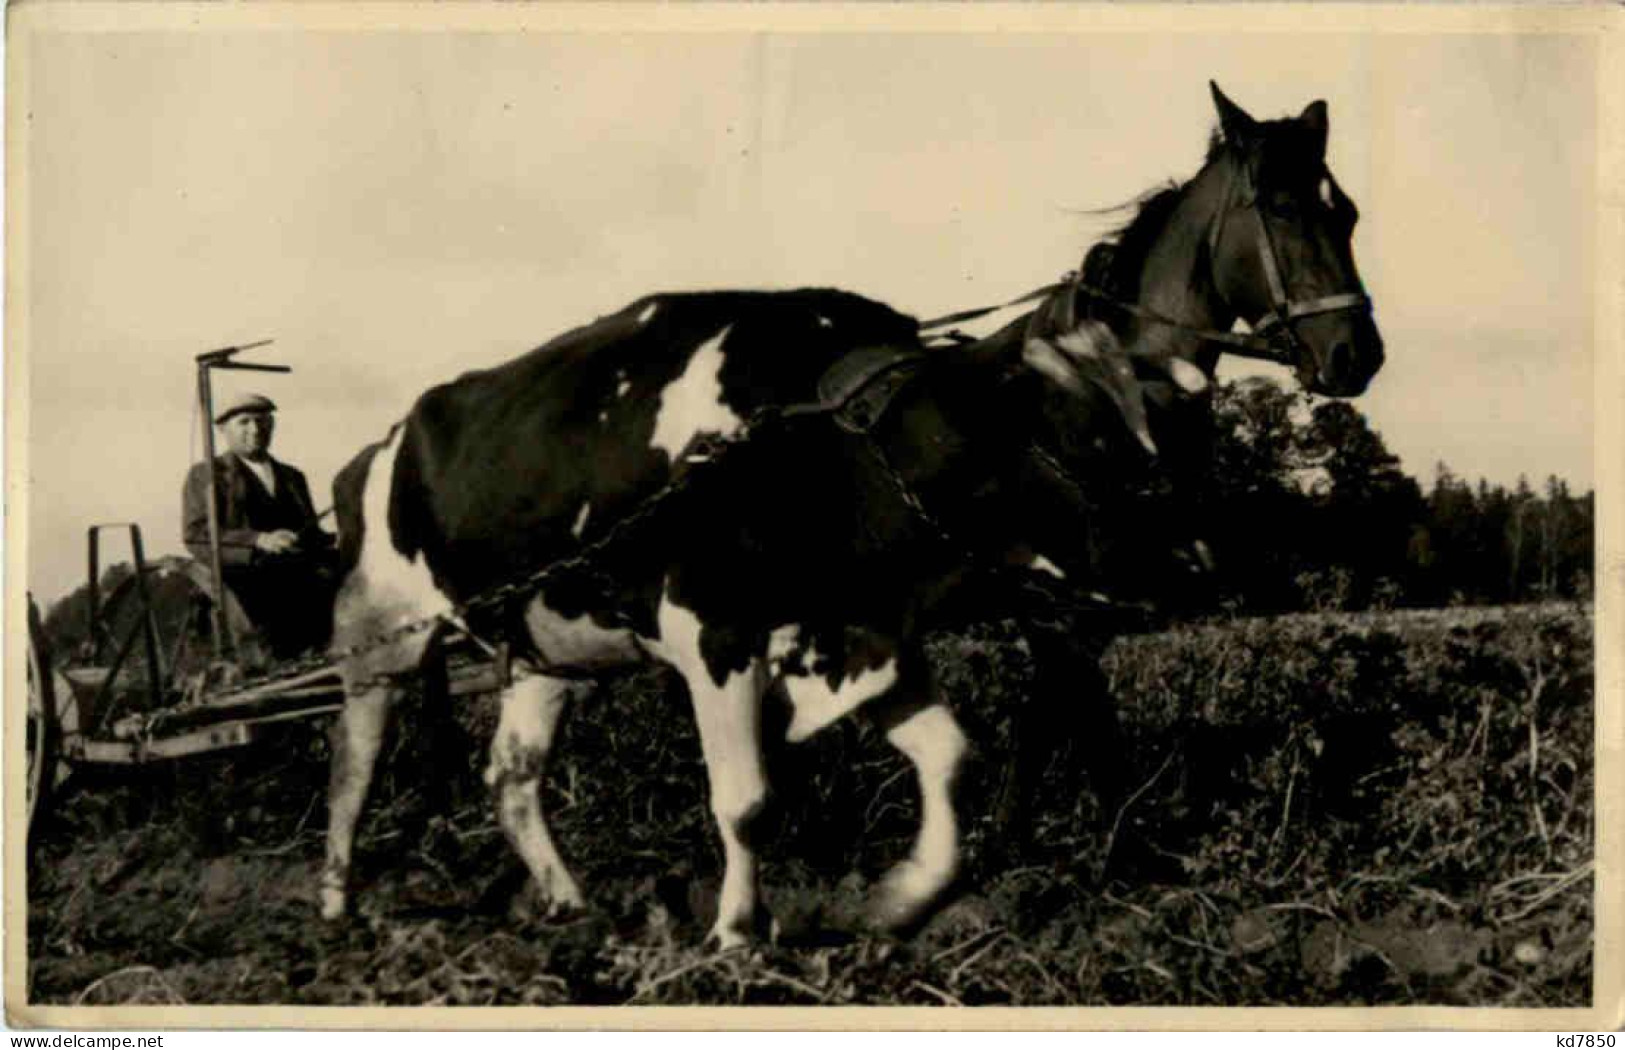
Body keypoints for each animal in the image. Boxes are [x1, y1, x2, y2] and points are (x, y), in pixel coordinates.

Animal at [320, 286, 1183, 949]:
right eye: (1080, 435)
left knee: (512, 775)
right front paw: (737, 933)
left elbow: (949, 756)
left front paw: (903, 899)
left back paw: (570, 905)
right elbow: (747, 802)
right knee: (354, 766)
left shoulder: (868, 635)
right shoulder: (715, 638)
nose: (1186, 562)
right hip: (378, 636)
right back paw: (335, 906)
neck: (813, 446)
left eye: (1158, 426)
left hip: (546, 651)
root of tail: (379, 445)